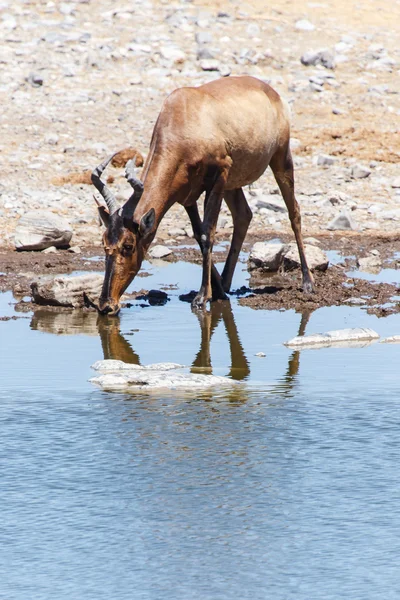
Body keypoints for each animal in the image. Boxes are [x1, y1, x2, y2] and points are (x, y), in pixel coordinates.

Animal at [92, 75, 314, 314]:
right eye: (104, 243)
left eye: (128, 245)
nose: (106, 305)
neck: (184, 114)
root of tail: (270, 91)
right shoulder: (187, 196)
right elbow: (199, 235)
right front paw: (217, 292)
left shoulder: (220, 175)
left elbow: (208, 233)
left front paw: (201, 298)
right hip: (234, 183)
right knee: (243, 215)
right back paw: (225, 283)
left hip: (280, 158)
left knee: (294, 212)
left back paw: (307, 283)